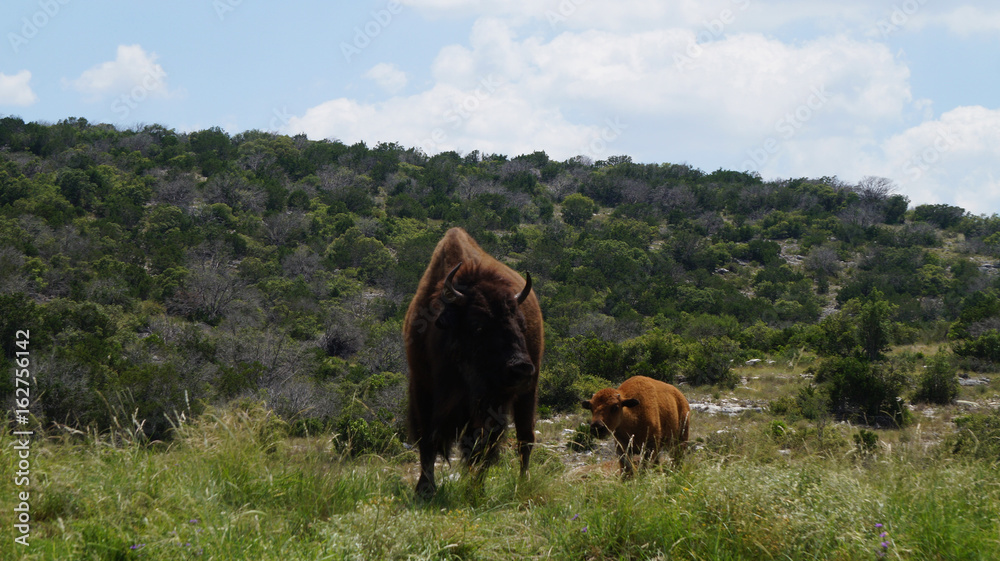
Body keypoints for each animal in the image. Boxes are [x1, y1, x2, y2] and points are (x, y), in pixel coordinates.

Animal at [404, 227, 544, 497]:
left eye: (521, 325)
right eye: (478, 326)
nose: (521, 368)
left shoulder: (487, 404)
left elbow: (481, 445)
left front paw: (474, 488)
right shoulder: (422, 389)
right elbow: (427, 441)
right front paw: (424, 489)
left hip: (526, 394)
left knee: (523, 439)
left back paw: (520, 483)